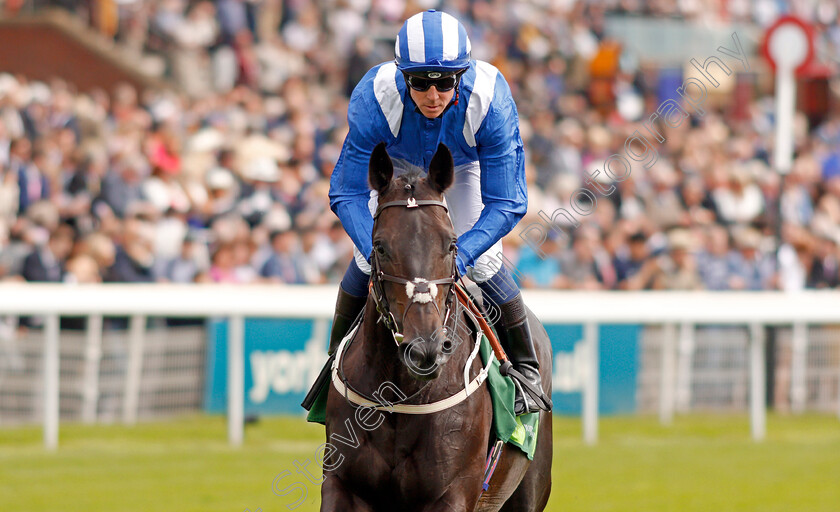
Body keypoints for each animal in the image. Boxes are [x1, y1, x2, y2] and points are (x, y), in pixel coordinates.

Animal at [322, 142, 552, 510]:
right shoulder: (342, 484)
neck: (403, 397)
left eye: (452, 244)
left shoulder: (454, 490)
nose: (425, 348)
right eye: (380, 247)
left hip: (529, 488)